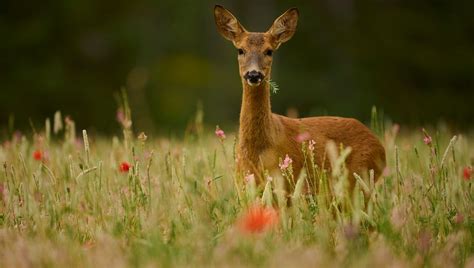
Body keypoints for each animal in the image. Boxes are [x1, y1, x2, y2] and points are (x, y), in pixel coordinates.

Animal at [215, 6, 386, 185]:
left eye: (269, 51)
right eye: (240, 50)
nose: (254, 74)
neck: (259, 150)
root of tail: (380, 146)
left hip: (360, 176)